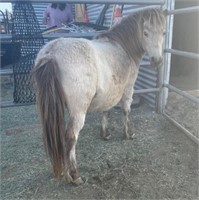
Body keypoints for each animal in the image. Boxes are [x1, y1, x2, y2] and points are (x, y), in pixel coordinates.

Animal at [32, 8, 166, 186]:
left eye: (163, 32)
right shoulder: (128, 89)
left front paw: (105, 134)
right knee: (71, 137)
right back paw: (74, 175)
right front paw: (128, 134)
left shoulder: (109, 92)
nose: (157, 61)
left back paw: (61, 171)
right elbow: (126, 110)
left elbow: (106, 111)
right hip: (78, 111)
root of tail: (51, 54)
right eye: (145, 33)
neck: (122, 47)